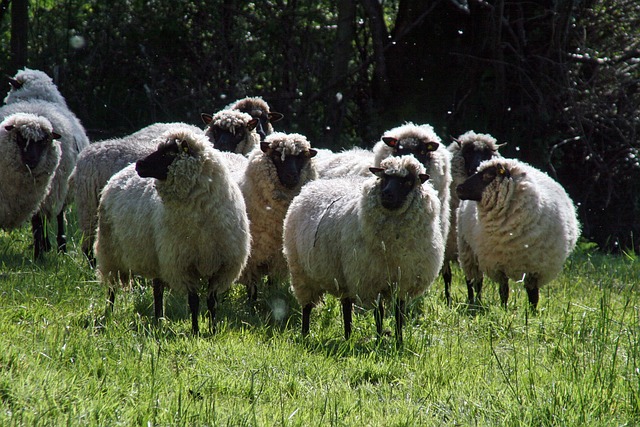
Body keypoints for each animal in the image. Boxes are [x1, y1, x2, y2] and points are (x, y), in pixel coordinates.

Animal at [95, 129, 250, 336]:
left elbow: (212, 302)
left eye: (168, 153)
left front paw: (213, 330)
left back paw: (159, 319)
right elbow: (194, 301)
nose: (139, 164)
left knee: (157, 289)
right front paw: (195, 331)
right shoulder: (183, 264)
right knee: (111, 287)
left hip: (156, 256)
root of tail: (117, 176)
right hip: (110, 250)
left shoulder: (221, 266)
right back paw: (109, 314)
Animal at [239, 132, 318, 302]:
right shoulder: (251, 257)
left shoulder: (278, 258)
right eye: (276, 155)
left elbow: (272, 282)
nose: (292, 175)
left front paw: (271, 298)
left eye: (302, 157)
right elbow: (252, 287)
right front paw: (251, 305)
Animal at [284, 155, 444, 346]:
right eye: (384, 178)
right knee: (307, 307)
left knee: (346, 307)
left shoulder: (402, 280)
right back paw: (305, 334)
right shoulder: (371, 281)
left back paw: (347, 337)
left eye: (407, 182)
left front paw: (399, 343)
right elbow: (379, 313)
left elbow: (398, 314)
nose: (387, 194)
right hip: (301, 272)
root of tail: (310, 186)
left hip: (343, 276)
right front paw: (379, 340)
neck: (394, 248)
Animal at [442, 130, 502, 304]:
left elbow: (476, 279)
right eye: (468, 152)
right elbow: (449, 276)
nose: (477, 167)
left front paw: (476, 301)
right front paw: (451, 301)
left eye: (487, 153)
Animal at [456, 157, 580, 308]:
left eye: (487, 175)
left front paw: (532, 312)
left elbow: (533, 295)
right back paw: (474, 303)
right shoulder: (499, 265)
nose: (459, 188)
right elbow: (504, 291)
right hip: (467, 249)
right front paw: (504, 309)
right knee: (474, 281)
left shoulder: (535, 269)